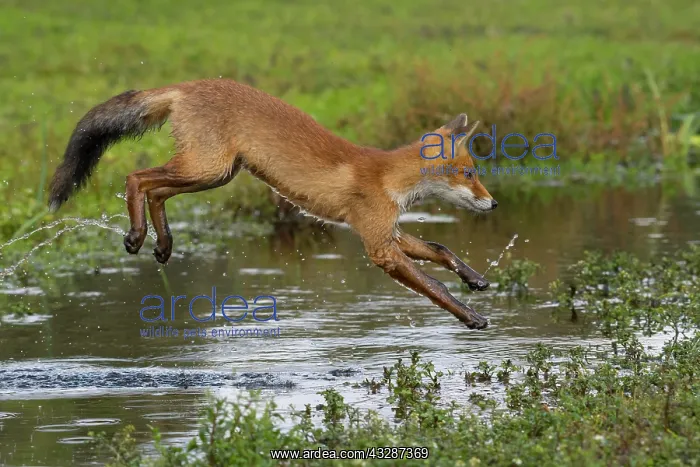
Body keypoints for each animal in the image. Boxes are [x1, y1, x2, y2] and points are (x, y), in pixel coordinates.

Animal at [48, 79, 498, 329]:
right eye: (469, 174)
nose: (493, 205)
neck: (387, 177)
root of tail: (188, 85)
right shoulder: (379, 246)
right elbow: (434, 286)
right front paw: (470, 316)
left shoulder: (387, 230)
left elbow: (441, 248)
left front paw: (474, 279)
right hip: (207, 169)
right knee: (136, 177)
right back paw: (138, 235)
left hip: (215, 174)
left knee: (154, 190)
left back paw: (163, 244)